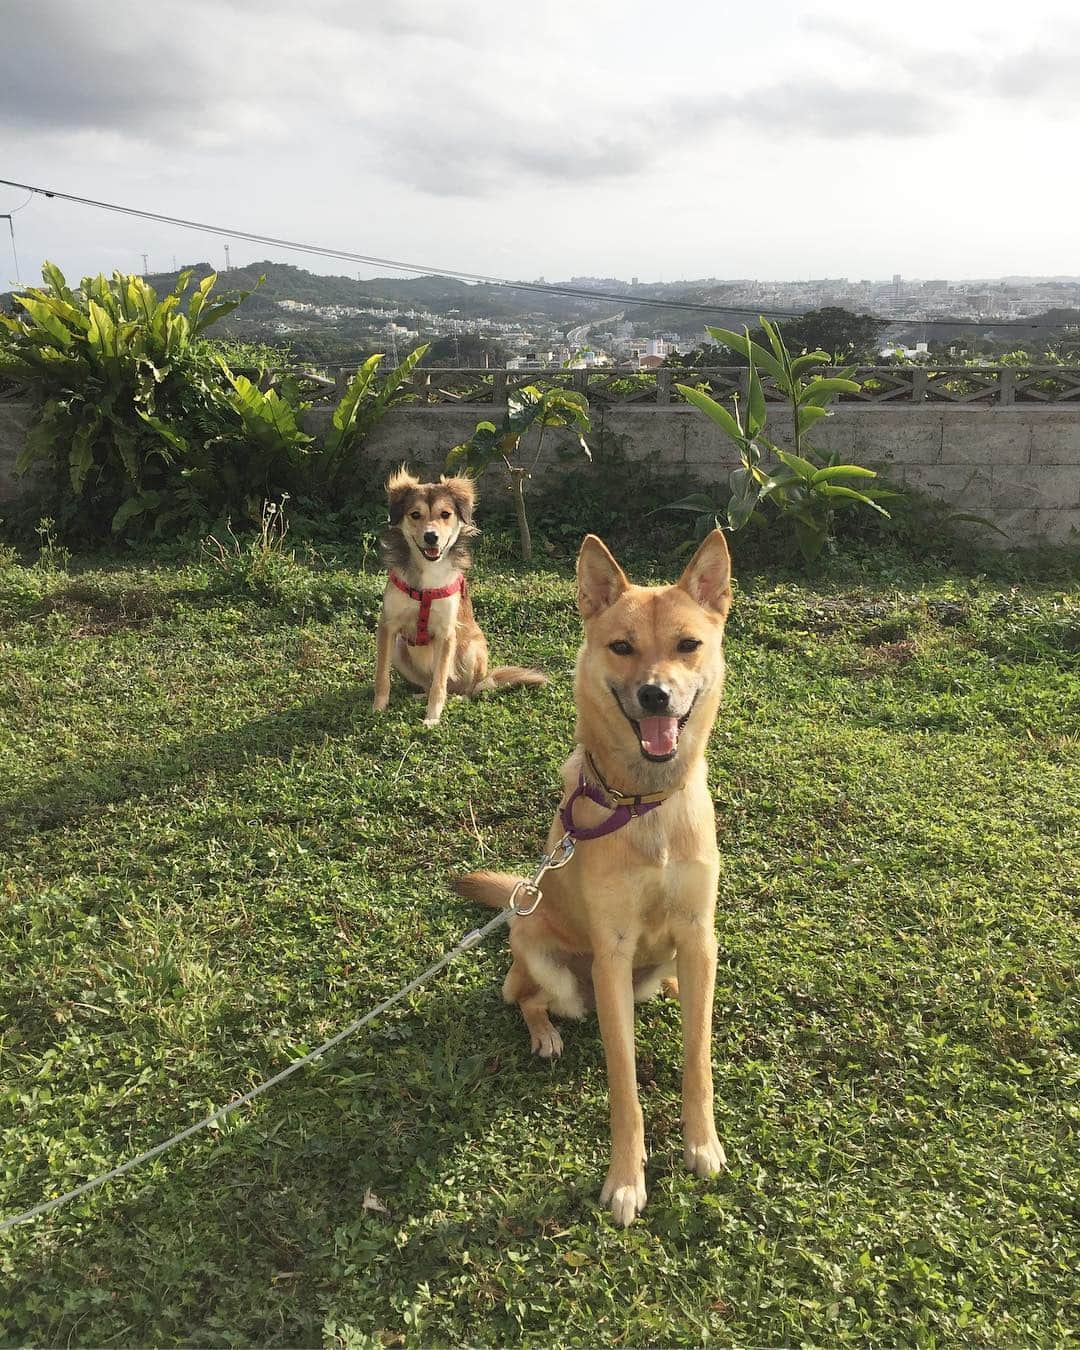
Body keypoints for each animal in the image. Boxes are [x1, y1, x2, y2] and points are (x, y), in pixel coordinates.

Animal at [372, 475, 548, 729]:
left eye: (445, 514)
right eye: (415, 514)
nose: (431, 536)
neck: (427, 576)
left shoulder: (446, 633)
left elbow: (440, 684)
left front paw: (432, 717)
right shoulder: (388, 626)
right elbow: (382, 676)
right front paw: (378, 708)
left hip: (471, 648)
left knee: (465, 689)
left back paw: (457, 698)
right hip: (399, 647)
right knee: (429, 683)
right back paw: (419, 695)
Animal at [456, 529, 734, 1225]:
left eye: (688, 645)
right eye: (622, 647)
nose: (656, 695)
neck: (643, 805)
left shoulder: (699, 935)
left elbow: (698, 1057)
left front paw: (702, 1143)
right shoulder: (611, 953)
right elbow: (624, 1084)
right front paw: (628, 1179)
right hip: (544, 959)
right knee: (524, 997)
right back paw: (545, 1033)